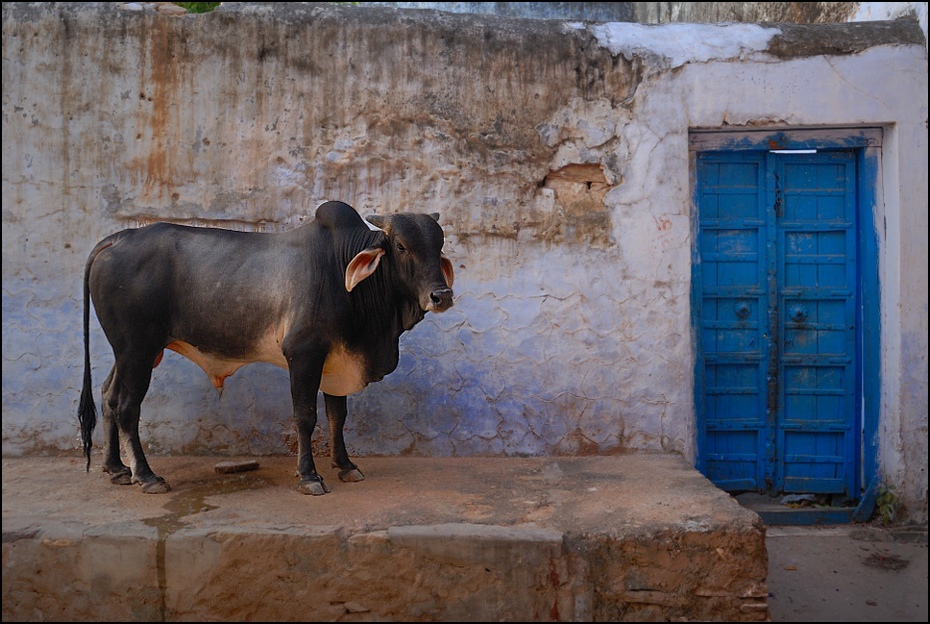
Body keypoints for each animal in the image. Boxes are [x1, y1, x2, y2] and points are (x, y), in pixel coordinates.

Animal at [78, 202, 454, 494]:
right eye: (401, 246)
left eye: (439, 245)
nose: (442, 295)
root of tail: (117, 238)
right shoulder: (304, 354)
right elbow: (306, 416)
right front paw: (309, 476)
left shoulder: (335, 360)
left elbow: (337, 416)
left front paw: (346, 466)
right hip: (137, 350)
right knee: (128, 407)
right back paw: (146, 476)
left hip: (130, 352)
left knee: (109, 396)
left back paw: (116, 469)